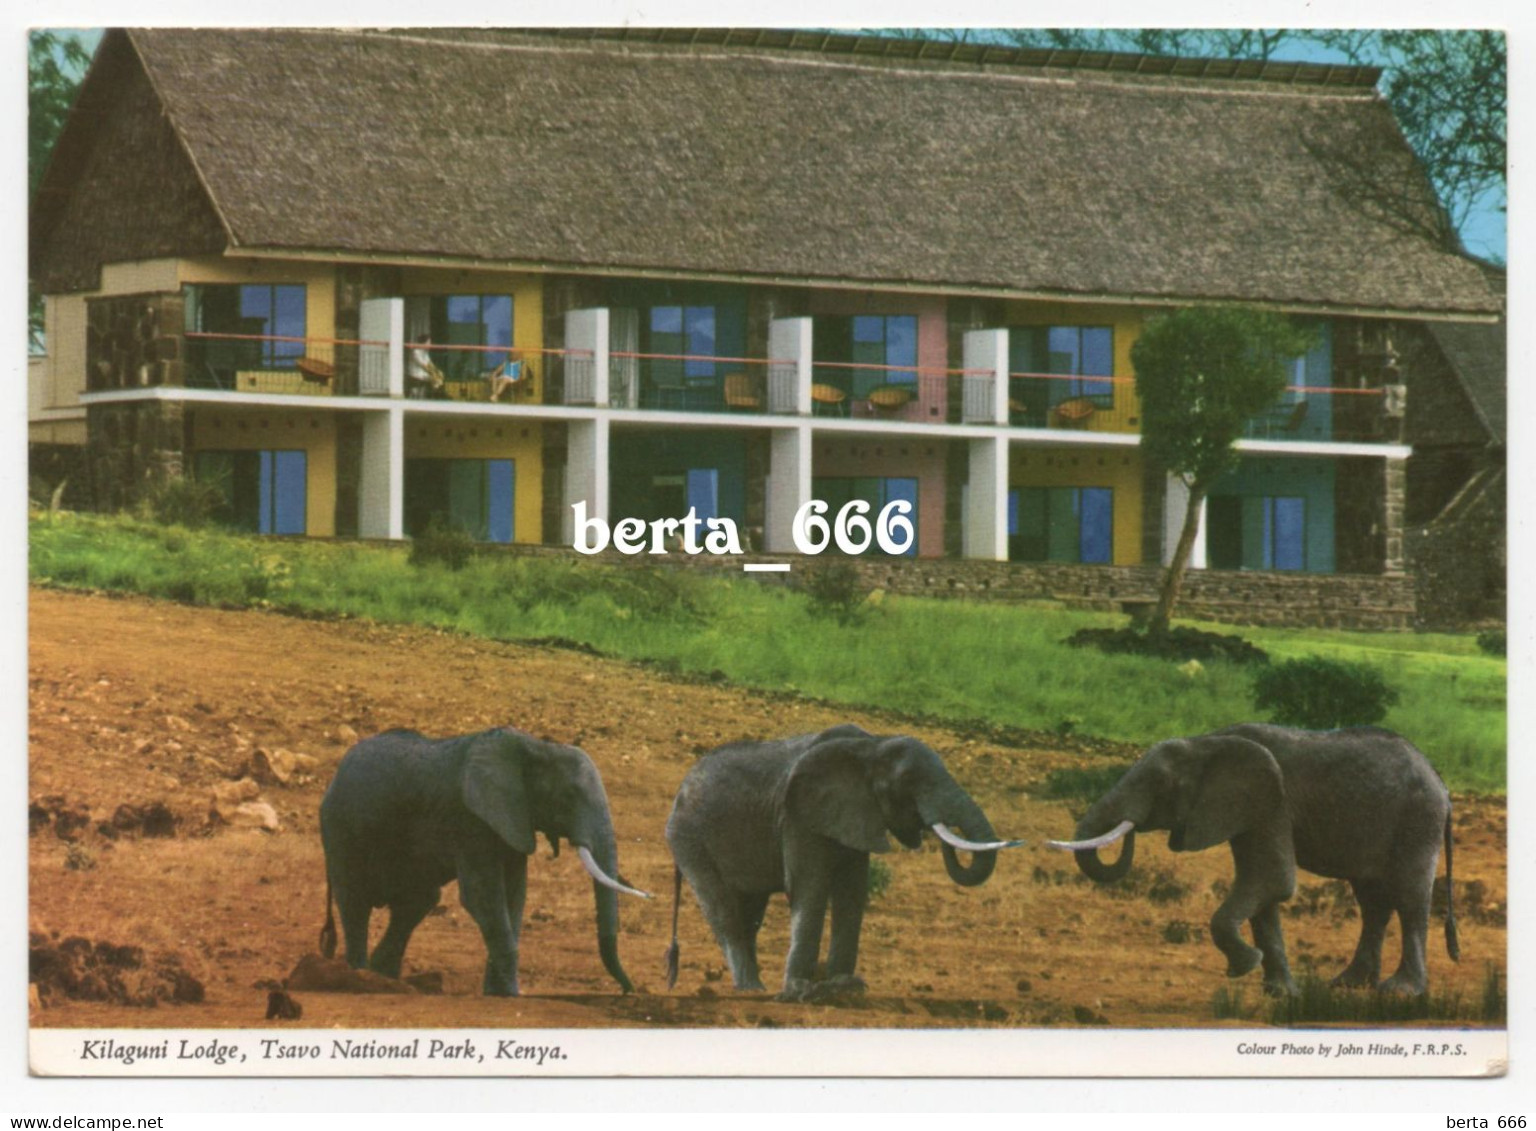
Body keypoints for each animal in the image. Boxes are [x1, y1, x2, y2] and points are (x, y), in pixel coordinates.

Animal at [317, 728, 648, 995]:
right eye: (568, 796)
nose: (627, 990)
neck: (535, 746)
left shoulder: (514, 819)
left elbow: (514, 896)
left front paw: (498, 994)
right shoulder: (469, 818)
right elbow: (483, 896)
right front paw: (513, 994)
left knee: (418, 902)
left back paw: (384, 979)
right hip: (341, 828)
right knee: (356, 901)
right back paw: (361, 979)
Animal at [660, 725, 1019, 995]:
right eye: (908, 782)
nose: (935, 825)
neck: (871, 745)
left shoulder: (855, 813)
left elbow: (852, 892)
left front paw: (846, 987)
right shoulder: (798, 815)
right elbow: (809, 887)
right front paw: (800, 992)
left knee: (751, 909)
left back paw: (754, 985)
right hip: (688, 837)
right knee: (723, 908)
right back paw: (752, 990)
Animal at [1050, 728, 1456, 995]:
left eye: (1161, 784)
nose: (1130, 827)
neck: (1209, 741)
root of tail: (1441, 780)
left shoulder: (1272, 803)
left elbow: (1273, 879)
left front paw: (1243, 968)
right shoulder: (1248, 810)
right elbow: (1263, 887)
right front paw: (1280, 992)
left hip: (1418, 819)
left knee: (1409, 897)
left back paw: (1400, 991)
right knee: (1373, 901)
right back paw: (1348, 985)